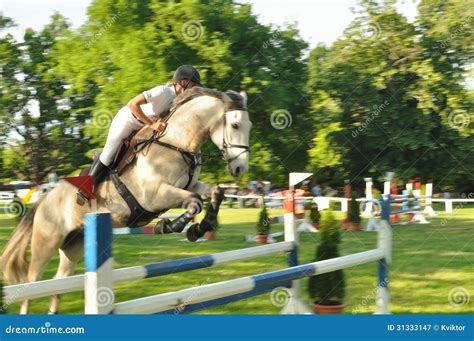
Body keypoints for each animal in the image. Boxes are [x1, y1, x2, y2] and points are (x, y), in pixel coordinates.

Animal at [0, 87, 252, 314]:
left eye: (249, 126)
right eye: (235, 125)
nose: (240, 169)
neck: (177, 142)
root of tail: (45, 198)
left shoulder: (188, 186)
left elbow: (215, 192)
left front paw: (200, 228)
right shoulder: (154, 195)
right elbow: (195, 202)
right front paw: (169, 226)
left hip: (74, 244)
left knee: (59, 281)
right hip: (46, 243)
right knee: (32, 283)